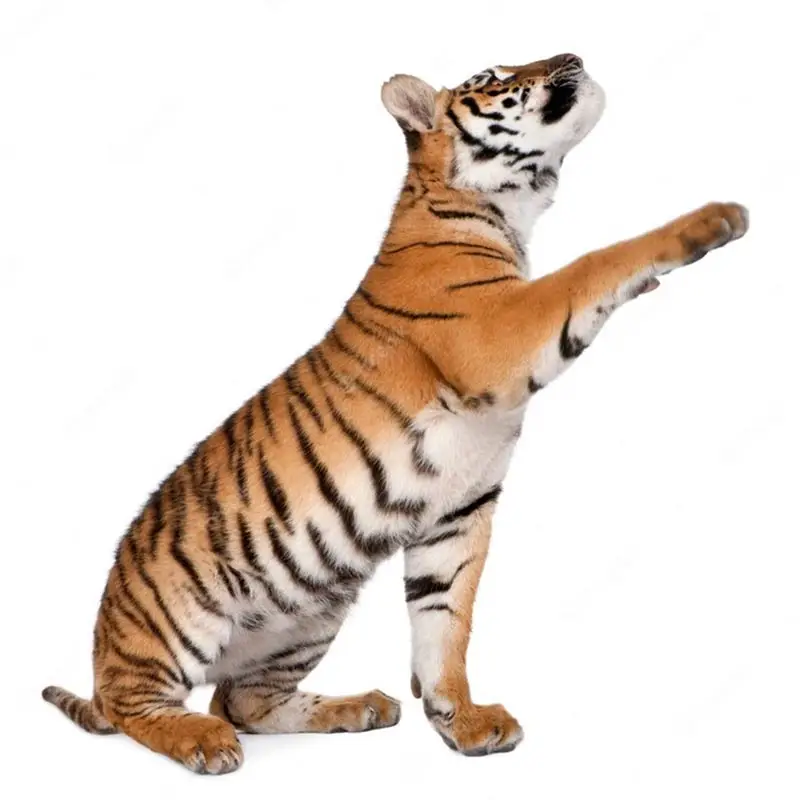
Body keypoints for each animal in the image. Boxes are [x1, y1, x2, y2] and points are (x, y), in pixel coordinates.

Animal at [42, 52, 749, 774]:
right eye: (497, 75)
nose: (574, 58)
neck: (504, 210)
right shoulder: (498, 333)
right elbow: (592, 265)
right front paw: (709, 221)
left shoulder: (457, 511)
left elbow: (446, 626)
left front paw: (461, 721)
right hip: (182, 616)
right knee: (139, 707)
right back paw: (201, 742)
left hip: (308, 617)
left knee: (242, 699)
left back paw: (359, 707)